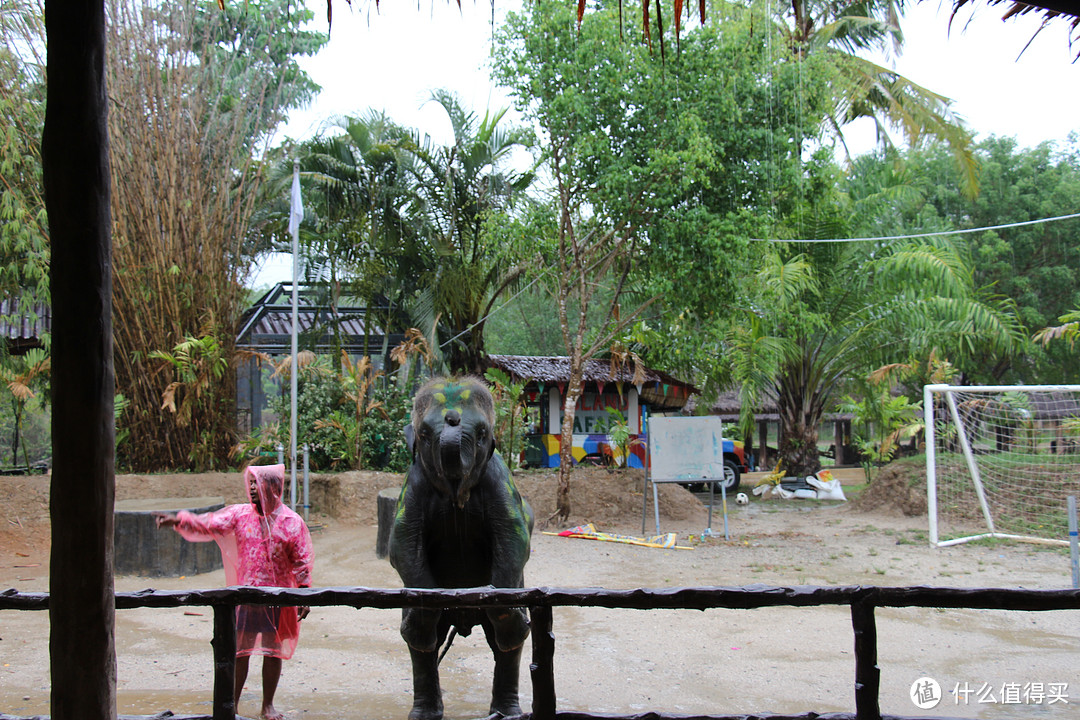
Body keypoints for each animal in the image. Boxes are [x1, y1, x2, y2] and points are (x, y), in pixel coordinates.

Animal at [393, 377, 535, 720]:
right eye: (424, 434)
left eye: (482, 433)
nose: (452, 419)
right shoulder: (413, 484)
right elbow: (402, 542)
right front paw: (422, 618)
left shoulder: (498, 480)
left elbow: (514, 537)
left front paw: (507, 614)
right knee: (422, 644)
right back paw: (424, 713)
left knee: (506, 644)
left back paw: (506, 712)